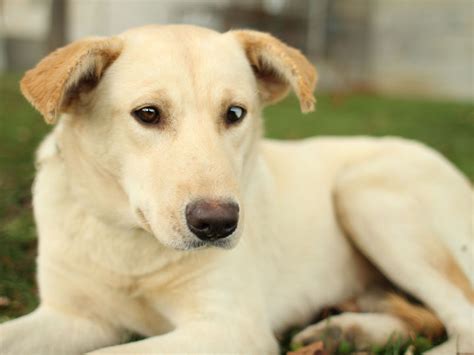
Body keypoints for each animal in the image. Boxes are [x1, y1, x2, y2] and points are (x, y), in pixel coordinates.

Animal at [0, 24, 472, 354]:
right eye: (148, 114)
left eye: (235, 113)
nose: (217, 224)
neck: (134, 243)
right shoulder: (76, 317)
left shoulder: (231, 328)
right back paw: (348, 331)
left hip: (365, 193)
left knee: (463, 323)